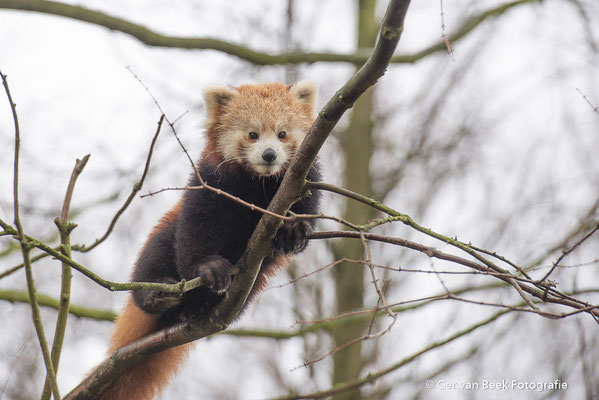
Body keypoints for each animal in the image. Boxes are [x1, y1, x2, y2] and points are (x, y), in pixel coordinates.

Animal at [97, 81, 324, 400]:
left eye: (282, 134)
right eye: (252, 134)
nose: (269, 155)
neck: (257, 183)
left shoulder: (303, 180)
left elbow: (307, 206)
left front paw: (294, 229)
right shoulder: (209, 184)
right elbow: (196, 231)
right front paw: (209, 268)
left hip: (256, 281)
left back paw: (199, 308)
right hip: (163, 238)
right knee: (152, 262)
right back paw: (159, 294)